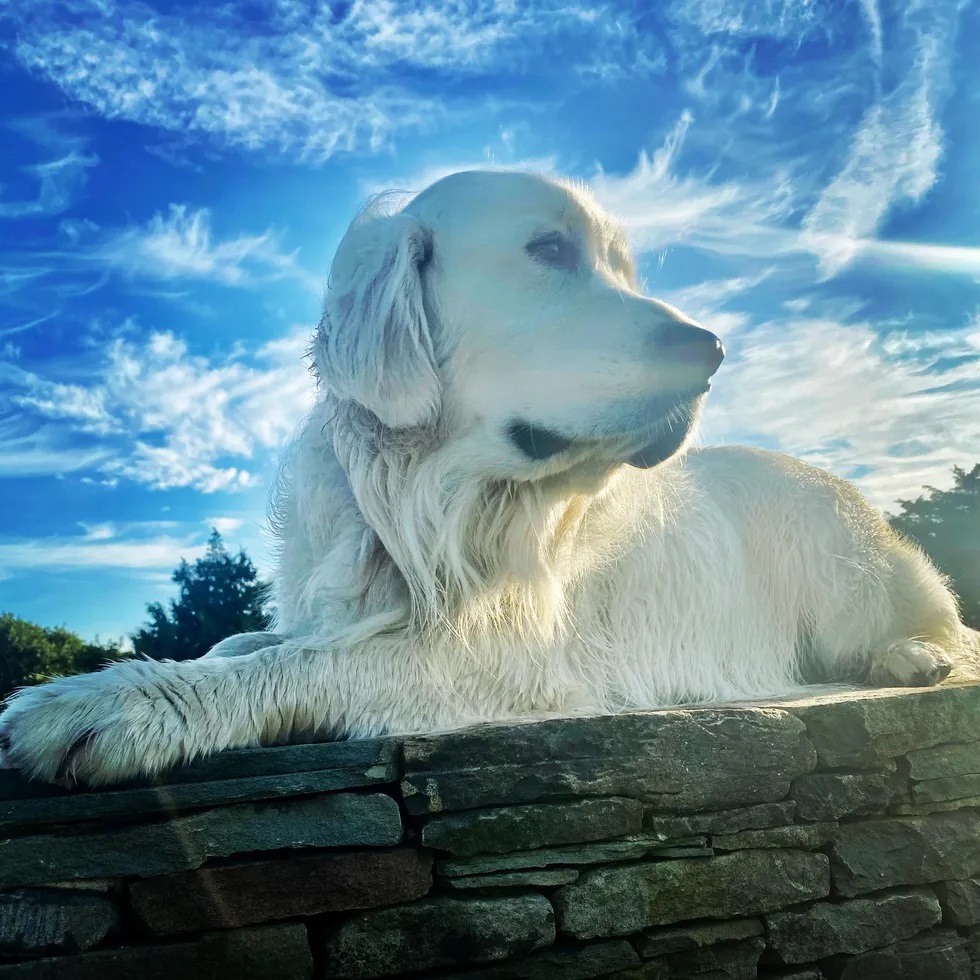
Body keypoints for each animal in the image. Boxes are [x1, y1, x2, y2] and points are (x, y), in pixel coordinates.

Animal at [1, 167, 980, 780]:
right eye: (548, 252)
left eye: (622, 268)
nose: (712, 349)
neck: (429, 498)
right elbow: (249, 642)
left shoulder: (506, 652)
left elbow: (310, 661)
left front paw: (109, 703)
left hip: (850, 566)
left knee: (942, 627)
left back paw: (910, 655)